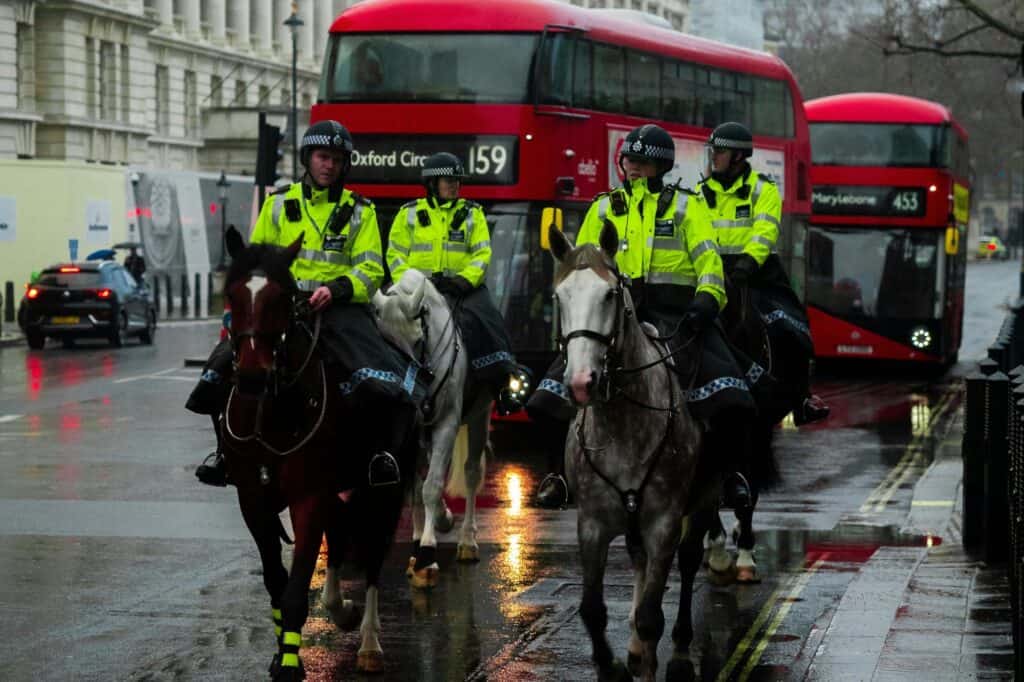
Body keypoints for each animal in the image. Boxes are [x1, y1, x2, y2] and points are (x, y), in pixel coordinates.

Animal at [222, 232, 413, 675]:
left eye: (281, 297)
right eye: (231, 295)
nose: (252, 377)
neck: (272, 412)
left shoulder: (308, 496)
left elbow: (295, 591)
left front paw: (291, 665)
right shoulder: (251, 498)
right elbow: (276, 582)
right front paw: (282, 652)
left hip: (386, 489)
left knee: (374, 554)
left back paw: (369, 642)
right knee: (341, 538)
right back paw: (341, 609)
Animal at [372, 268, 491, 585]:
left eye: (417, 340)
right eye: (386, 344)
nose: (414, 394)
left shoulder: (448, 422)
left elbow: (432, 485)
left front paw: (427, 554)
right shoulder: (412, 432)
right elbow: (415, 491)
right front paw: (418, 547)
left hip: (479, 414)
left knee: (471, 472)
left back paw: (467, 540)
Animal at [552, 224, 720, 679]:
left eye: (610, 295)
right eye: (558, 296)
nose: (580, 383)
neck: (622, 425)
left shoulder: (663, 522)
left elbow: (650, 617)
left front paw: (646, 659)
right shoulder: (591, 524)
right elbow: (593, 611)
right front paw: (610, 664)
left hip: (703, 500)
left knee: (689, 560)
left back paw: (680, 650)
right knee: (639, 563)